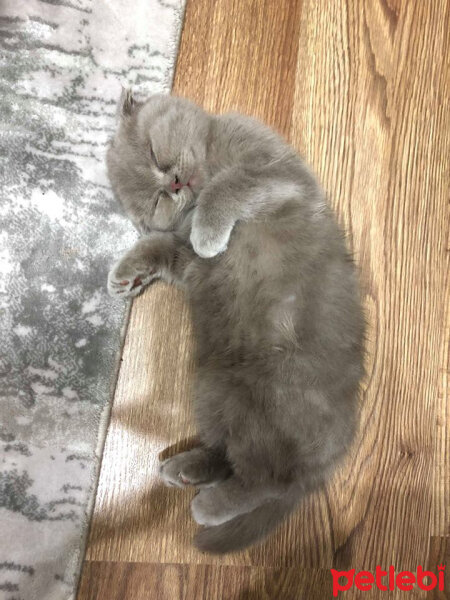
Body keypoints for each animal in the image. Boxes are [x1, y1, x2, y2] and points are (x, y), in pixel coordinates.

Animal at [105, 91, 366, 556]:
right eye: (157, 200)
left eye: (155, 154)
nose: (175, 184)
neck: (210, 158)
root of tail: (329, 456)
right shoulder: (188, 262)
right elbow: (159, 243)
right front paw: (127, 275)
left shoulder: (277, 172)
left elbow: (231, 185)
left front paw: (207, 229)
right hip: (216, 391)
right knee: (244, 464)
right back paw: (187, 472)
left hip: (275, 399)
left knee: (268, 480)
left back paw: (206, 503)